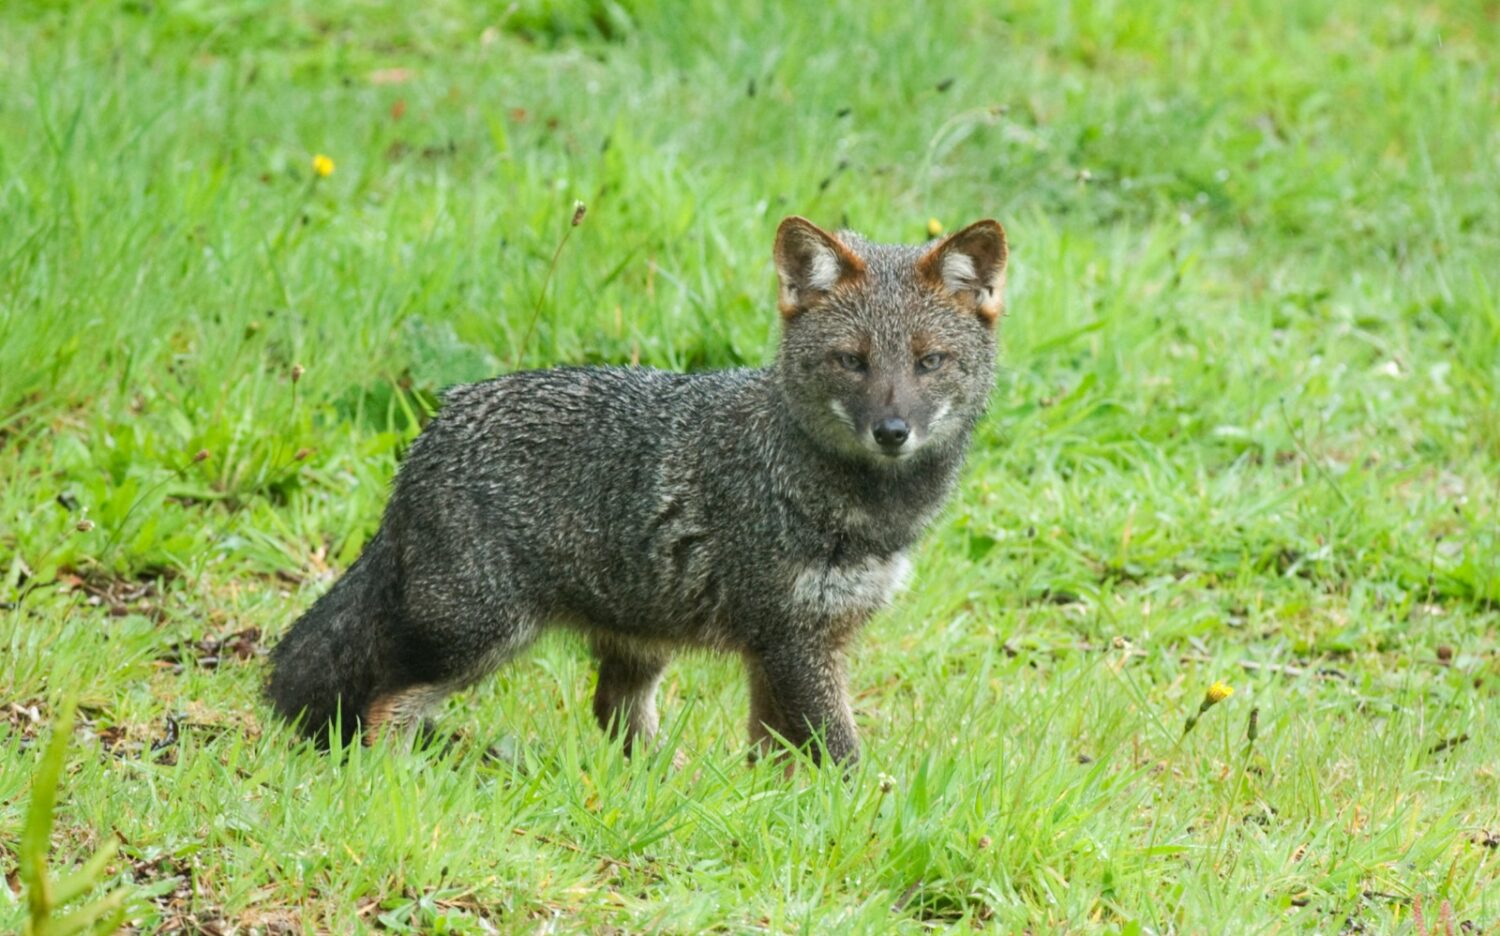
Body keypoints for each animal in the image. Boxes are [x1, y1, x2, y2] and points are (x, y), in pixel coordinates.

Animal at [268, 216, 1008, 765]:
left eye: (929, 362)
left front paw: (768, 813)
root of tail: (431, 432)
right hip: (482, 636)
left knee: (612, 713)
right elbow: (840, 753)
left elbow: (774, 753)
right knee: (384, 707)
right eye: (852, 361)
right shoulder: (793, 641)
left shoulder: (796, 644)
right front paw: (860, 815)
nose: (892, 431)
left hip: (637, 639)